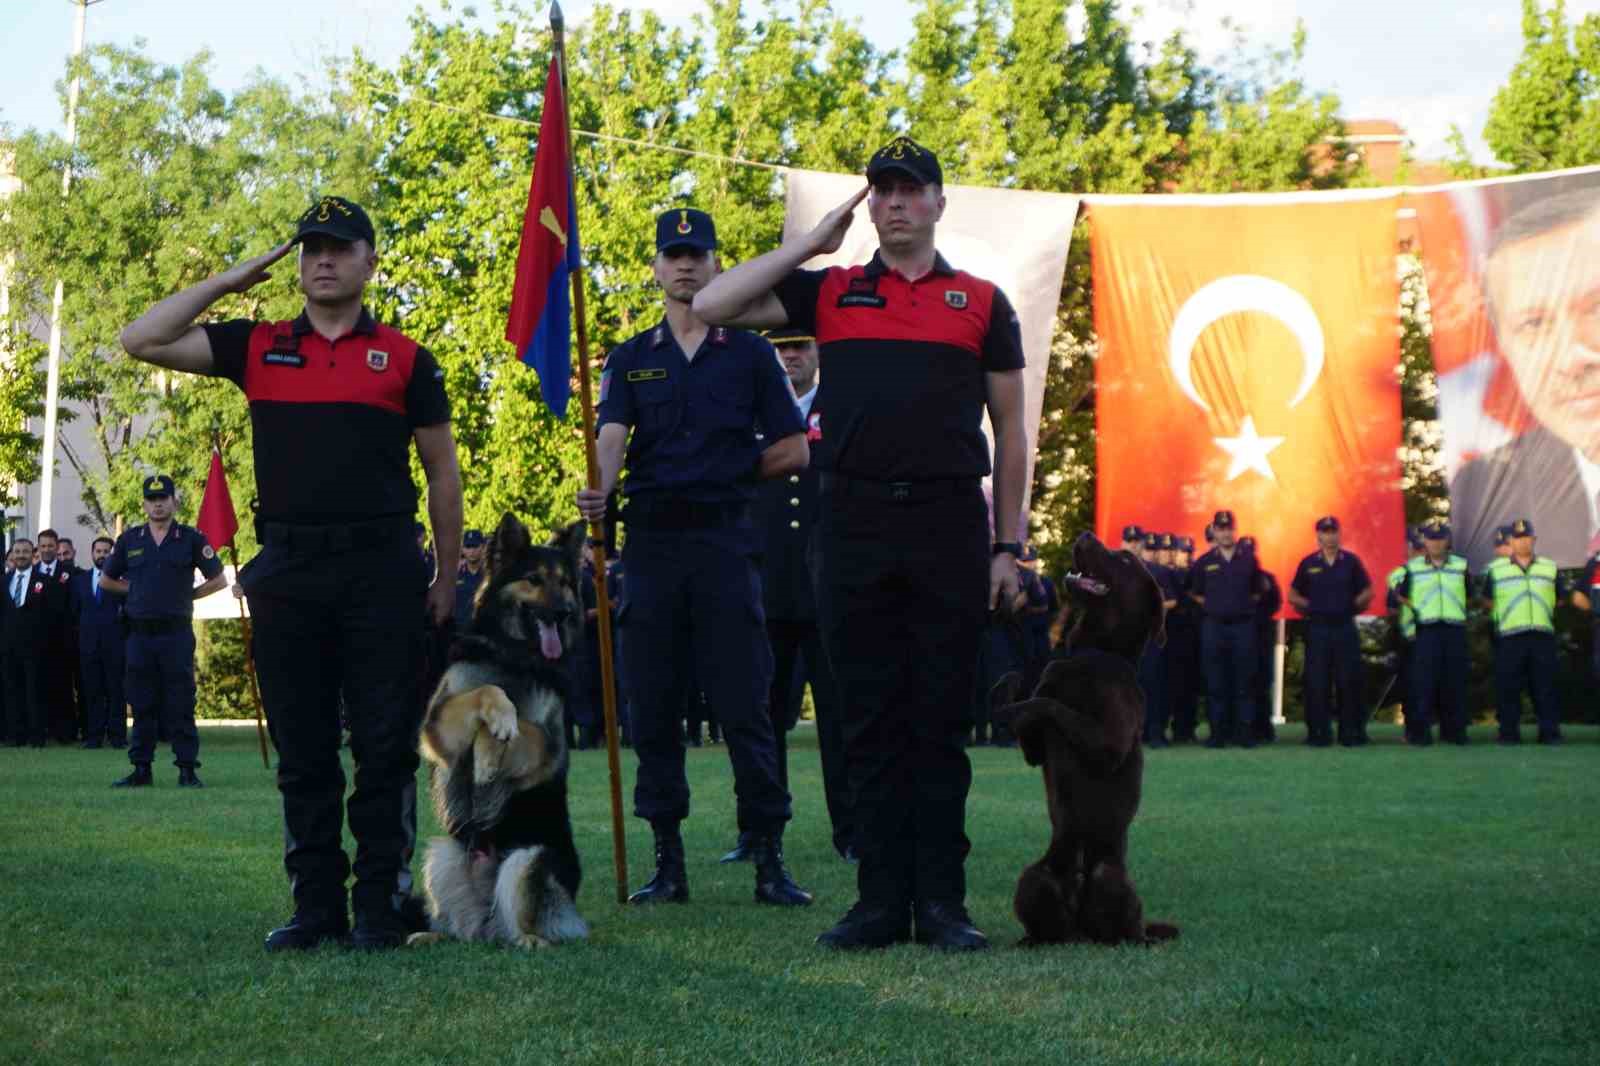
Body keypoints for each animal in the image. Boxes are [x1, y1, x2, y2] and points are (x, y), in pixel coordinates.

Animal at [409, 512, 592, 947]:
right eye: (534, 579)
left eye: (565, 582)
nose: (564, 612)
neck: (512, 656)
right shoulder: (439, 724)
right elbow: (486, 693)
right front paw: (494, 730)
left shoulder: (548, 746)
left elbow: (524, 728)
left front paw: (490, 755)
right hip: (443, 854)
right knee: (468, 931)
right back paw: (434, 935)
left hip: (528, 858)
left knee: (520, 924)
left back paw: (530, 940)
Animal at [992, 534, 1184, 941]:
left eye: (1125, 559)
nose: (1084, 536)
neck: (1094, 652)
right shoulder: (1036, 749)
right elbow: (1034, 699)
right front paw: (1009, 687)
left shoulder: (1108, 743)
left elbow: (1048, 703)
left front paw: (1017, 705)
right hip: (1033, 878)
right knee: (1049, 926)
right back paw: (1030, 940)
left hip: (1110, 877)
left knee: (1125, 931)